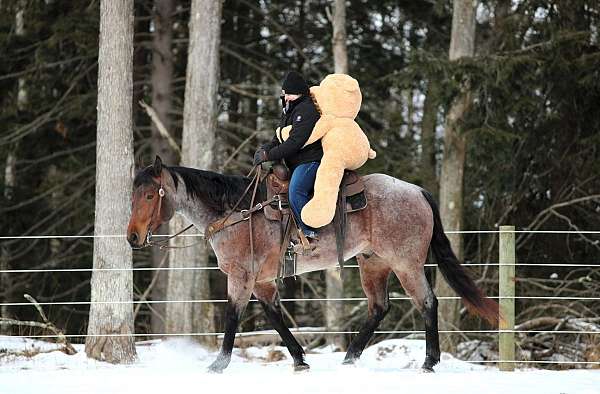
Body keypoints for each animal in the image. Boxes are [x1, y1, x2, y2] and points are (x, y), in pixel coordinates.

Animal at [129, 156, 500, 372]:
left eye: (149, 195)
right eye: (132, 196)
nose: (133, 237)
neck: (238, 212)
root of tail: (418, 192)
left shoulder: (242, 276)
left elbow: (233, 316)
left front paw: (218, 365)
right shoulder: (263, 281)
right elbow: (275, 317)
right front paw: (299, 359)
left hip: (405, 263)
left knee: (426, 302)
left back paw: (428, 361)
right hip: (373, 264)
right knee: (379, 307)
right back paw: (351, 357)